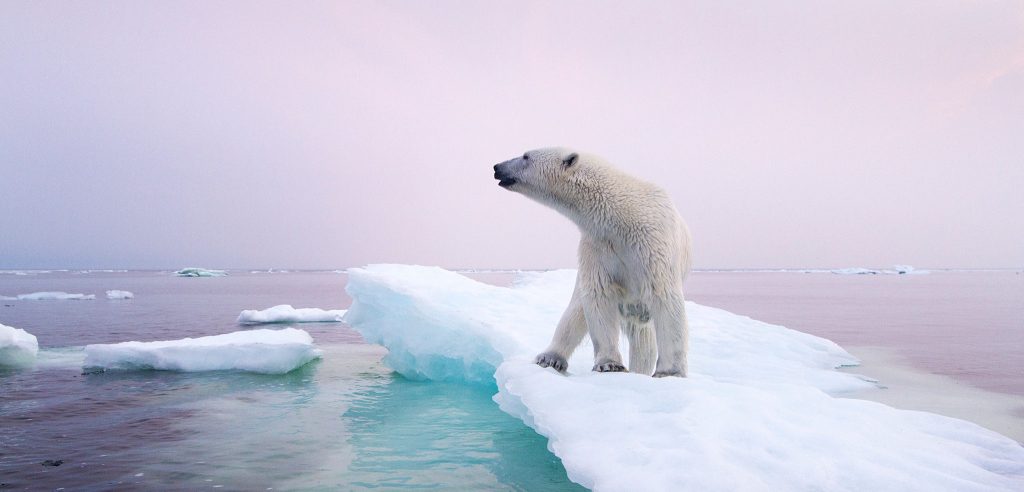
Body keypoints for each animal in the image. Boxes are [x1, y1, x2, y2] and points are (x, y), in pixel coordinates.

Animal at [491, 145, 692, 377]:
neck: (622, 217)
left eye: (526, 156)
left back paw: (639, 371)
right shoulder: (597, 246)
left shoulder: (652, 243)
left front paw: (670, 372)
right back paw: (550, 358)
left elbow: (664, 296)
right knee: (575, 312)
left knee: (643, 339)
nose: (497, 167)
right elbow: (598, 294)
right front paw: (610, 364)